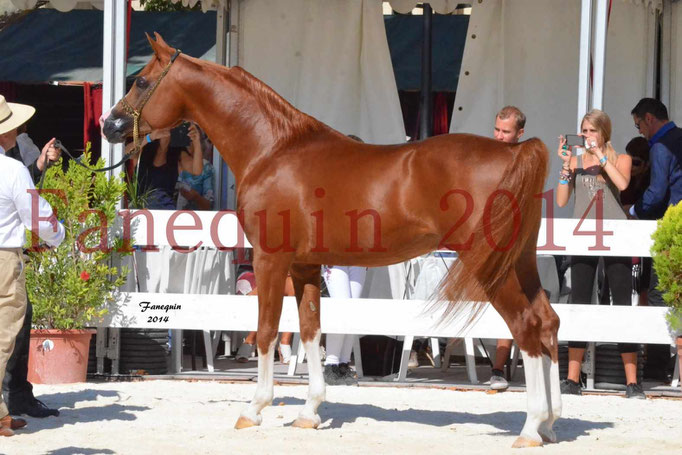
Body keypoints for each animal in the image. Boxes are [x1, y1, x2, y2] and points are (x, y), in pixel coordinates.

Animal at [101, 35, 556, 448]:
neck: (273, 150)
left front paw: (254, 409)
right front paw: (309, 413)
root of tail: (515, 152)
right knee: (548, 322)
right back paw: (550, 425)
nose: (109, 125)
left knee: (526, 326)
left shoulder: (270, 259)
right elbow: (310, 332)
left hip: (491, 267)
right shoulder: (305, 266)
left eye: (142, 82)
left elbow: (266, 331)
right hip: (520, 262)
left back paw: (531, 428)